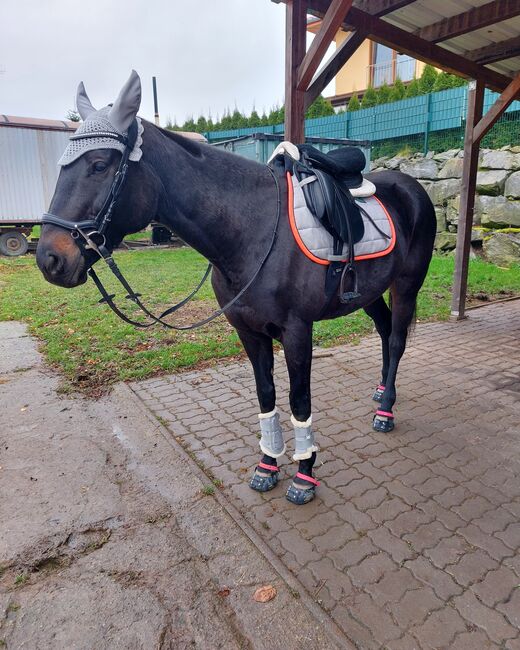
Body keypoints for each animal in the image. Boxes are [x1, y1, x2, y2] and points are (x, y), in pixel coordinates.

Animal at [35, 73, 434, 504]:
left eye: (98, 165)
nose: (50, 259)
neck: (253, 230)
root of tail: (410, 186)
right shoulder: (248, 331)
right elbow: (266, 394)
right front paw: (267, 465)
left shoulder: (297, 331)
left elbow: (299, 399)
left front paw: (304, 474)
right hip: (370, 292)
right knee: (384, 331)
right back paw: (380, 392)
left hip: (406, 285)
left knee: (397, 339)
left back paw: (385, 411)